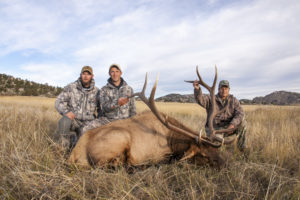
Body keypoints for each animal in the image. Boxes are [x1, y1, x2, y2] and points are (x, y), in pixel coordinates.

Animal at [68, 67, 237, 167]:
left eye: (215, 150)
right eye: (204, 155)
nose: (225, 165)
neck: (172, 139)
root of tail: (74, 153)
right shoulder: (159, 153)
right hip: (119, 138)